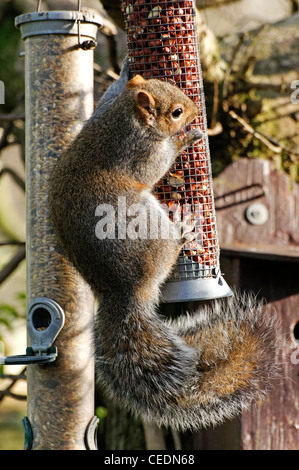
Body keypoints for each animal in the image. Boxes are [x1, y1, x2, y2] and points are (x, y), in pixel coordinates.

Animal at [50, 57, 280, 432]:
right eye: (175, 112)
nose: (195, 112)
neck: (124, 118)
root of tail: (124, 293)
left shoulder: (103, 109)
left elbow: (109, 93)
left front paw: (126, 70)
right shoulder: (135, 153)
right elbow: (156, 166)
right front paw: (185, 139)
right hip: (145, 221)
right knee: (166, 247)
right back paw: (183, 232)